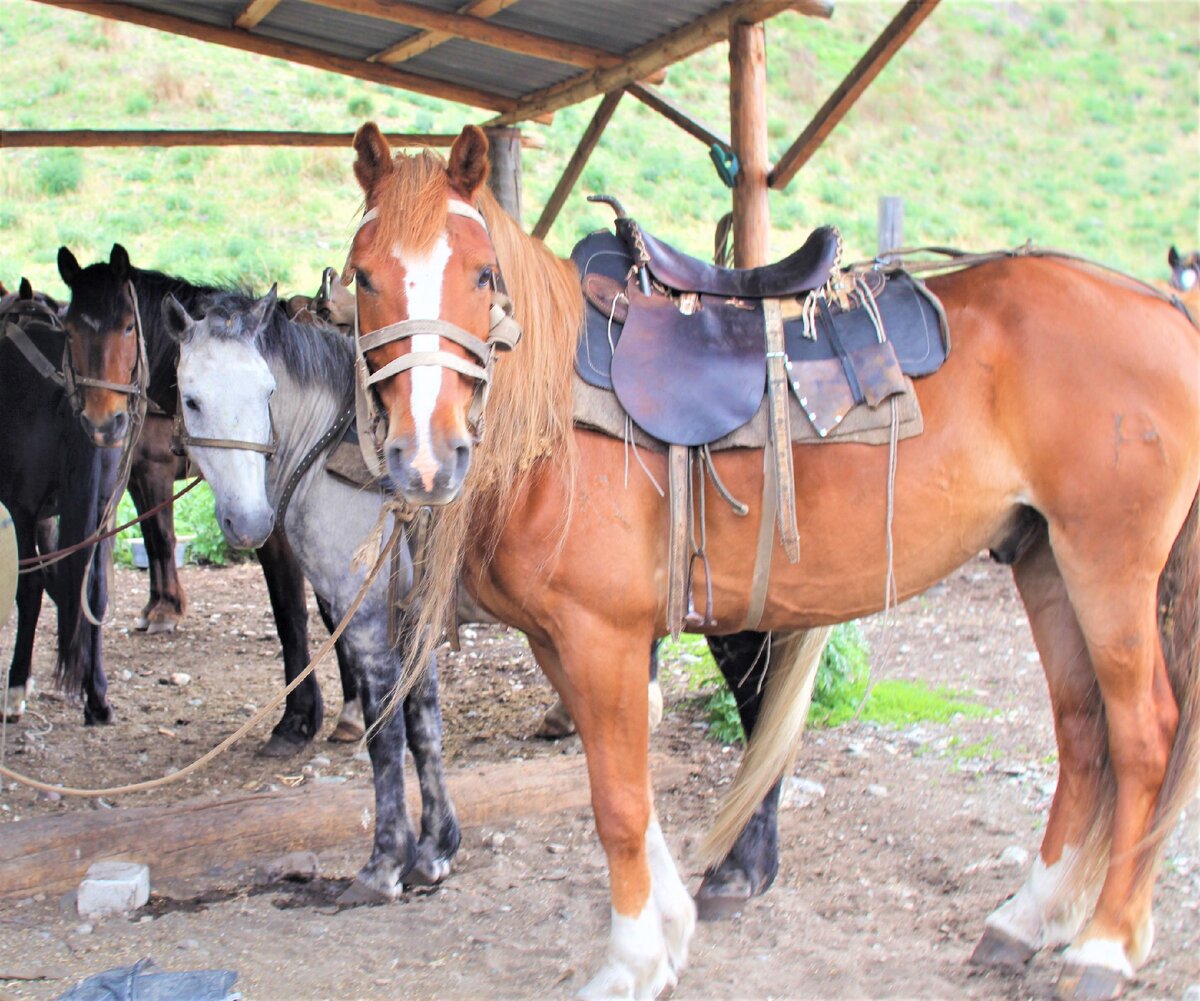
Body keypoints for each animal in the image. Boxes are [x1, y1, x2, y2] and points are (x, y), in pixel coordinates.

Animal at [169, 286, 463, 897]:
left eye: (267, 392)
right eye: (192, 399)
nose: (249, 522)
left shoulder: (367, 617)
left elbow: (386, 733)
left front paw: (385, 862)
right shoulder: (410, 613)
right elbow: (424, 718)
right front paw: (435, 849)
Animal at [345, 124, 1200, 998]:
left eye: (482, 274)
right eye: (363, 275)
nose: (426, 458)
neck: (552, 423)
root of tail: (1165, 310)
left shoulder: (601, 637)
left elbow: (617, 801)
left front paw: (631, 958)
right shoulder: (562, 642)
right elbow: (632, 791)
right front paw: (670, 930)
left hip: (1108, 566)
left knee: (1144, 738)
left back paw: (1105, 944)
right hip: (1044, 560)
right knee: (1084, 732)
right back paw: (1028, 918)